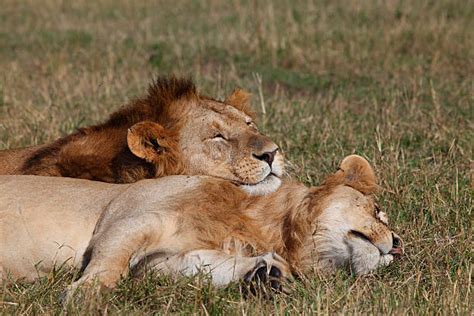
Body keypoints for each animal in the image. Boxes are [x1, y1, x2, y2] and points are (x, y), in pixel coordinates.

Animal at [0, 156, 404, 294]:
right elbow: (108, 263)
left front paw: (267, 276)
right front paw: (84, 296)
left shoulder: (158, 264)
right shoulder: (130, 218)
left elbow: (202, 267)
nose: (399, 246)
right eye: (378, 210)